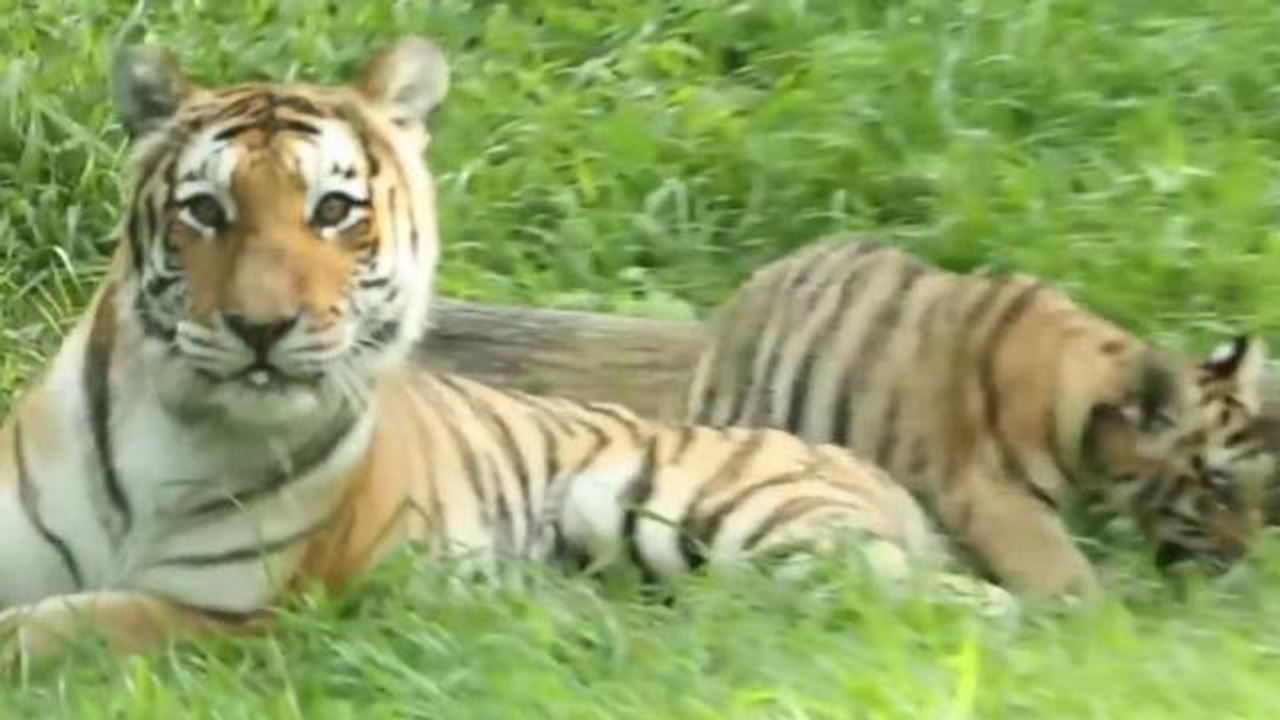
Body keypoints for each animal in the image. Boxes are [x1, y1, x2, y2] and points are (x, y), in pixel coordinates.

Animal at [0, 38, 1016, 670]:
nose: (261, 327)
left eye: (334, 210)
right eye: (206, 211)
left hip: (718, 514)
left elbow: (67, 625)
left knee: (950, 604)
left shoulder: (235, 608)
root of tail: (854, 460)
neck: (172, 429)